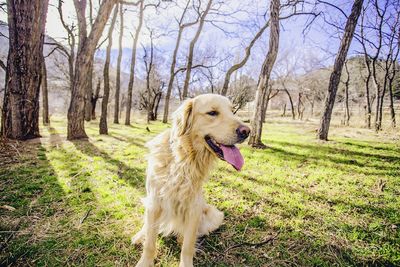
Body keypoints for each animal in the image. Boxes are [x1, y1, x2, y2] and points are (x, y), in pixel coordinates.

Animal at [133, 94, 248, 267]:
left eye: (232, 111)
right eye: (212, 113)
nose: (247, 131)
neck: (183, 159)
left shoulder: (194, 208)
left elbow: (187, 246)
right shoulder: (154, 202)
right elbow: (150, 242)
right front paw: (145, 261)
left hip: (214, 215)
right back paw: (140, 236)